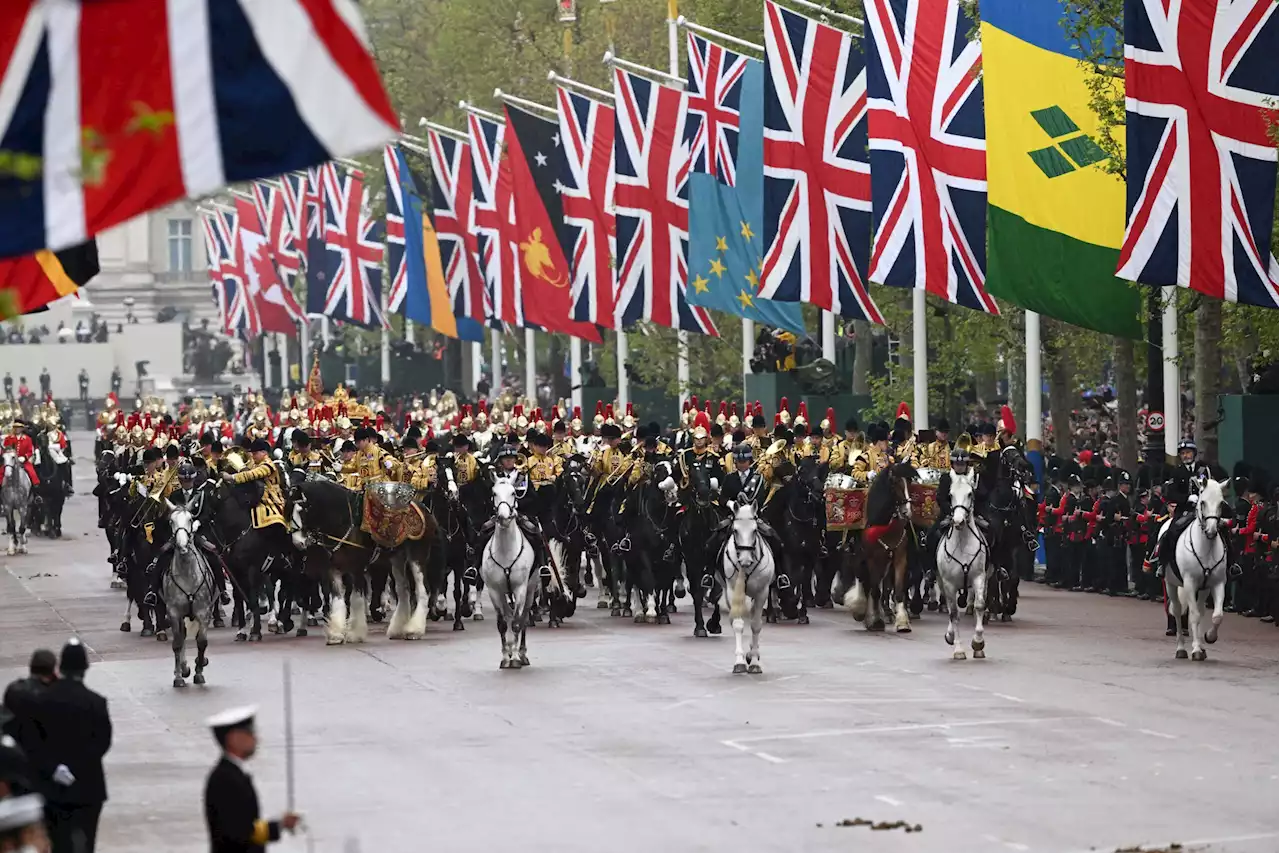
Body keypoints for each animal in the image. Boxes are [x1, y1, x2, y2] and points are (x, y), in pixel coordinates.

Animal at [481, 479, 537, 666]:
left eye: (513, 492)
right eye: (494, 493)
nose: (503, 517)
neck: (506, 550)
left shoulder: (520, 589)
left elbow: (518, 623)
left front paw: (516, 658)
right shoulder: (494, 590)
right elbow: (502, 624)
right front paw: (506, 657)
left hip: (531, 589)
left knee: (524, 618)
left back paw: (521, 653)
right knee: (507, 615)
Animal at [716, 499, 773, 671]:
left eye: (755, 530)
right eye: (735, 530)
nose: (745, 560)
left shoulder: (762, 592)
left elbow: (755, 625)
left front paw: (754, 661)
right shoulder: (732, 591)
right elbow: (738, 624)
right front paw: (739, 661)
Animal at [936, 471, 993, 655]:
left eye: (970, 494)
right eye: (950, 495)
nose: (958, 521)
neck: (962, 543)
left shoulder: (979, 577)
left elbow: (980, 605)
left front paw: (978, 642)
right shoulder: (948, 583)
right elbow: (954, 613)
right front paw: (959, 649)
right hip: (942, 582)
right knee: (949, 607)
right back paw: (950, 635)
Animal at [1162, 473, 1228, 660]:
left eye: (1221, 503)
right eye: (1203, 502)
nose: (1211, 531)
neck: (1206, 548)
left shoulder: (1217, 583)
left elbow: (1217, 616)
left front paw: (1209, 638)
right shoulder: (1189, 583)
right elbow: (1193, 615)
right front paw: (1196, 649)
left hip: (1203, 589)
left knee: (1199, 610)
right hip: (1170, 583)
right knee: (1178, 611)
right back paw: (1181, 648)